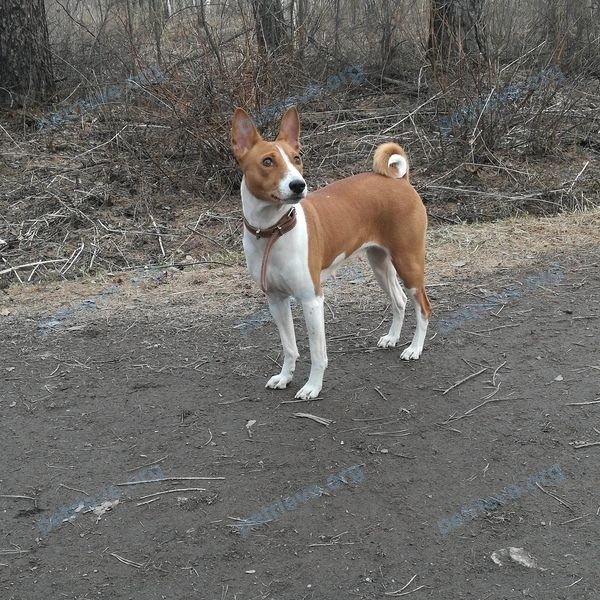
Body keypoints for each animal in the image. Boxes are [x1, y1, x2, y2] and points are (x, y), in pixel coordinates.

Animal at [231, 106, 432, 398]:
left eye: (297, 159)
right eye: (267, 161)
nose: (298, 185)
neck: (274, 231)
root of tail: (400, 181)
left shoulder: (312, 299)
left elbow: (317, 353)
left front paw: (312, 387)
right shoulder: (276, 300)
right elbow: (289, 347)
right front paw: (285, 377)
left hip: (408, 263)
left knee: (423, 307)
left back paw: (415, 348)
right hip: (380, 264)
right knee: (399, 300)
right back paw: (393, 337)